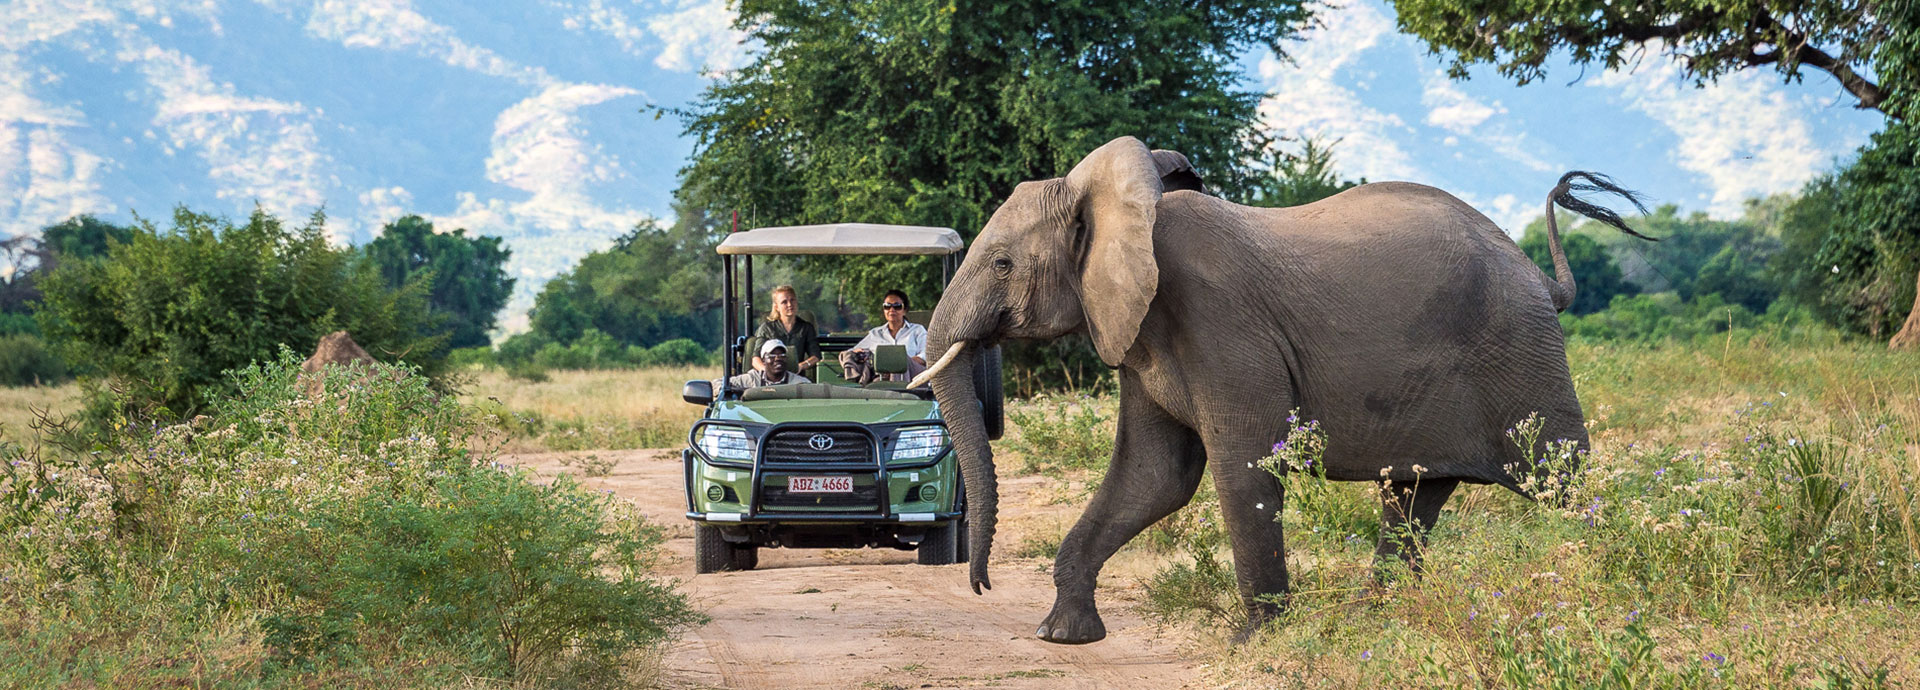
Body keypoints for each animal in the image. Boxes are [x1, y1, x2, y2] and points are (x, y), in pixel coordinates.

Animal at [913, 136, 1651, 644]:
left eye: (1001, 263)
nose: (979, 584)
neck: (1124, 203)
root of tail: (1540, 277)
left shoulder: (1217, 321)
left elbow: (1243, 469)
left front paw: (1251, 641)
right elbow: (1153, 476)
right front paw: (1062, 635)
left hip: (1524, 354)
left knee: (1564, 480)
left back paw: (1621, 576)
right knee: (1412, 498)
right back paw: (1375, 619)